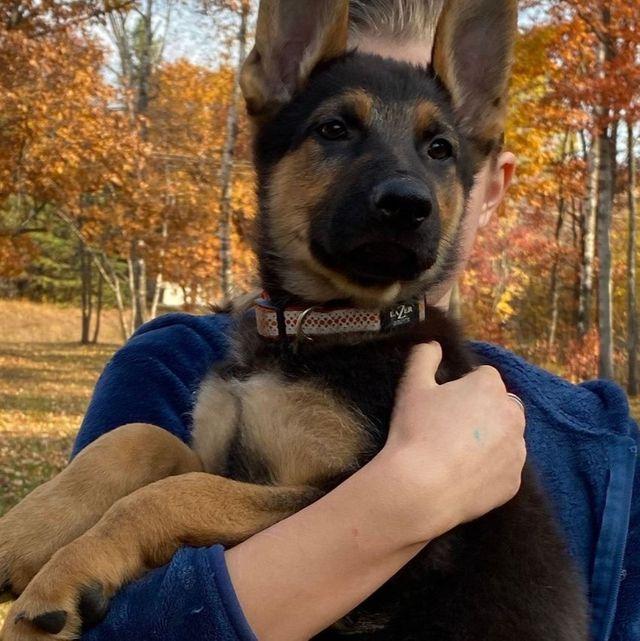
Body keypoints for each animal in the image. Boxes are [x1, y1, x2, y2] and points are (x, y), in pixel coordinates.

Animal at [1, 0, 584, 636]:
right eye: (334, 129)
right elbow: (139, 439)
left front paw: (64, 574)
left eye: (440, 149)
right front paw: (21, 536)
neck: (317, 326)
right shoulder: (225, 454)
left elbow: (177, 494)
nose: (408, 205)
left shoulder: (366, 508)